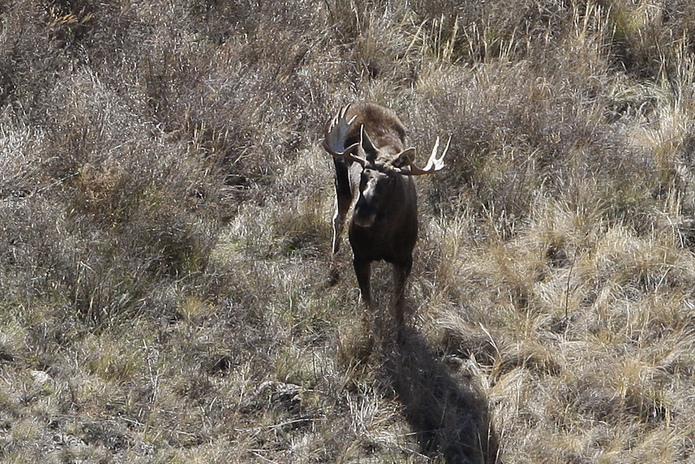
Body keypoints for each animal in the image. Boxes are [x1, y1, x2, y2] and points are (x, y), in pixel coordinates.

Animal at [324, 102, 448, 326]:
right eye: (363, 173)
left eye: (390, 180)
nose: (362, 215)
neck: (382, 236)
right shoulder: (360, 256)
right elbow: (369, 304)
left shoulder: (404, 258)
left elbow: (398, 303)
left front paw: (401, 332)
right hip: (340, 178)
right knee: (338, 219)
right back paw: (332, 273)